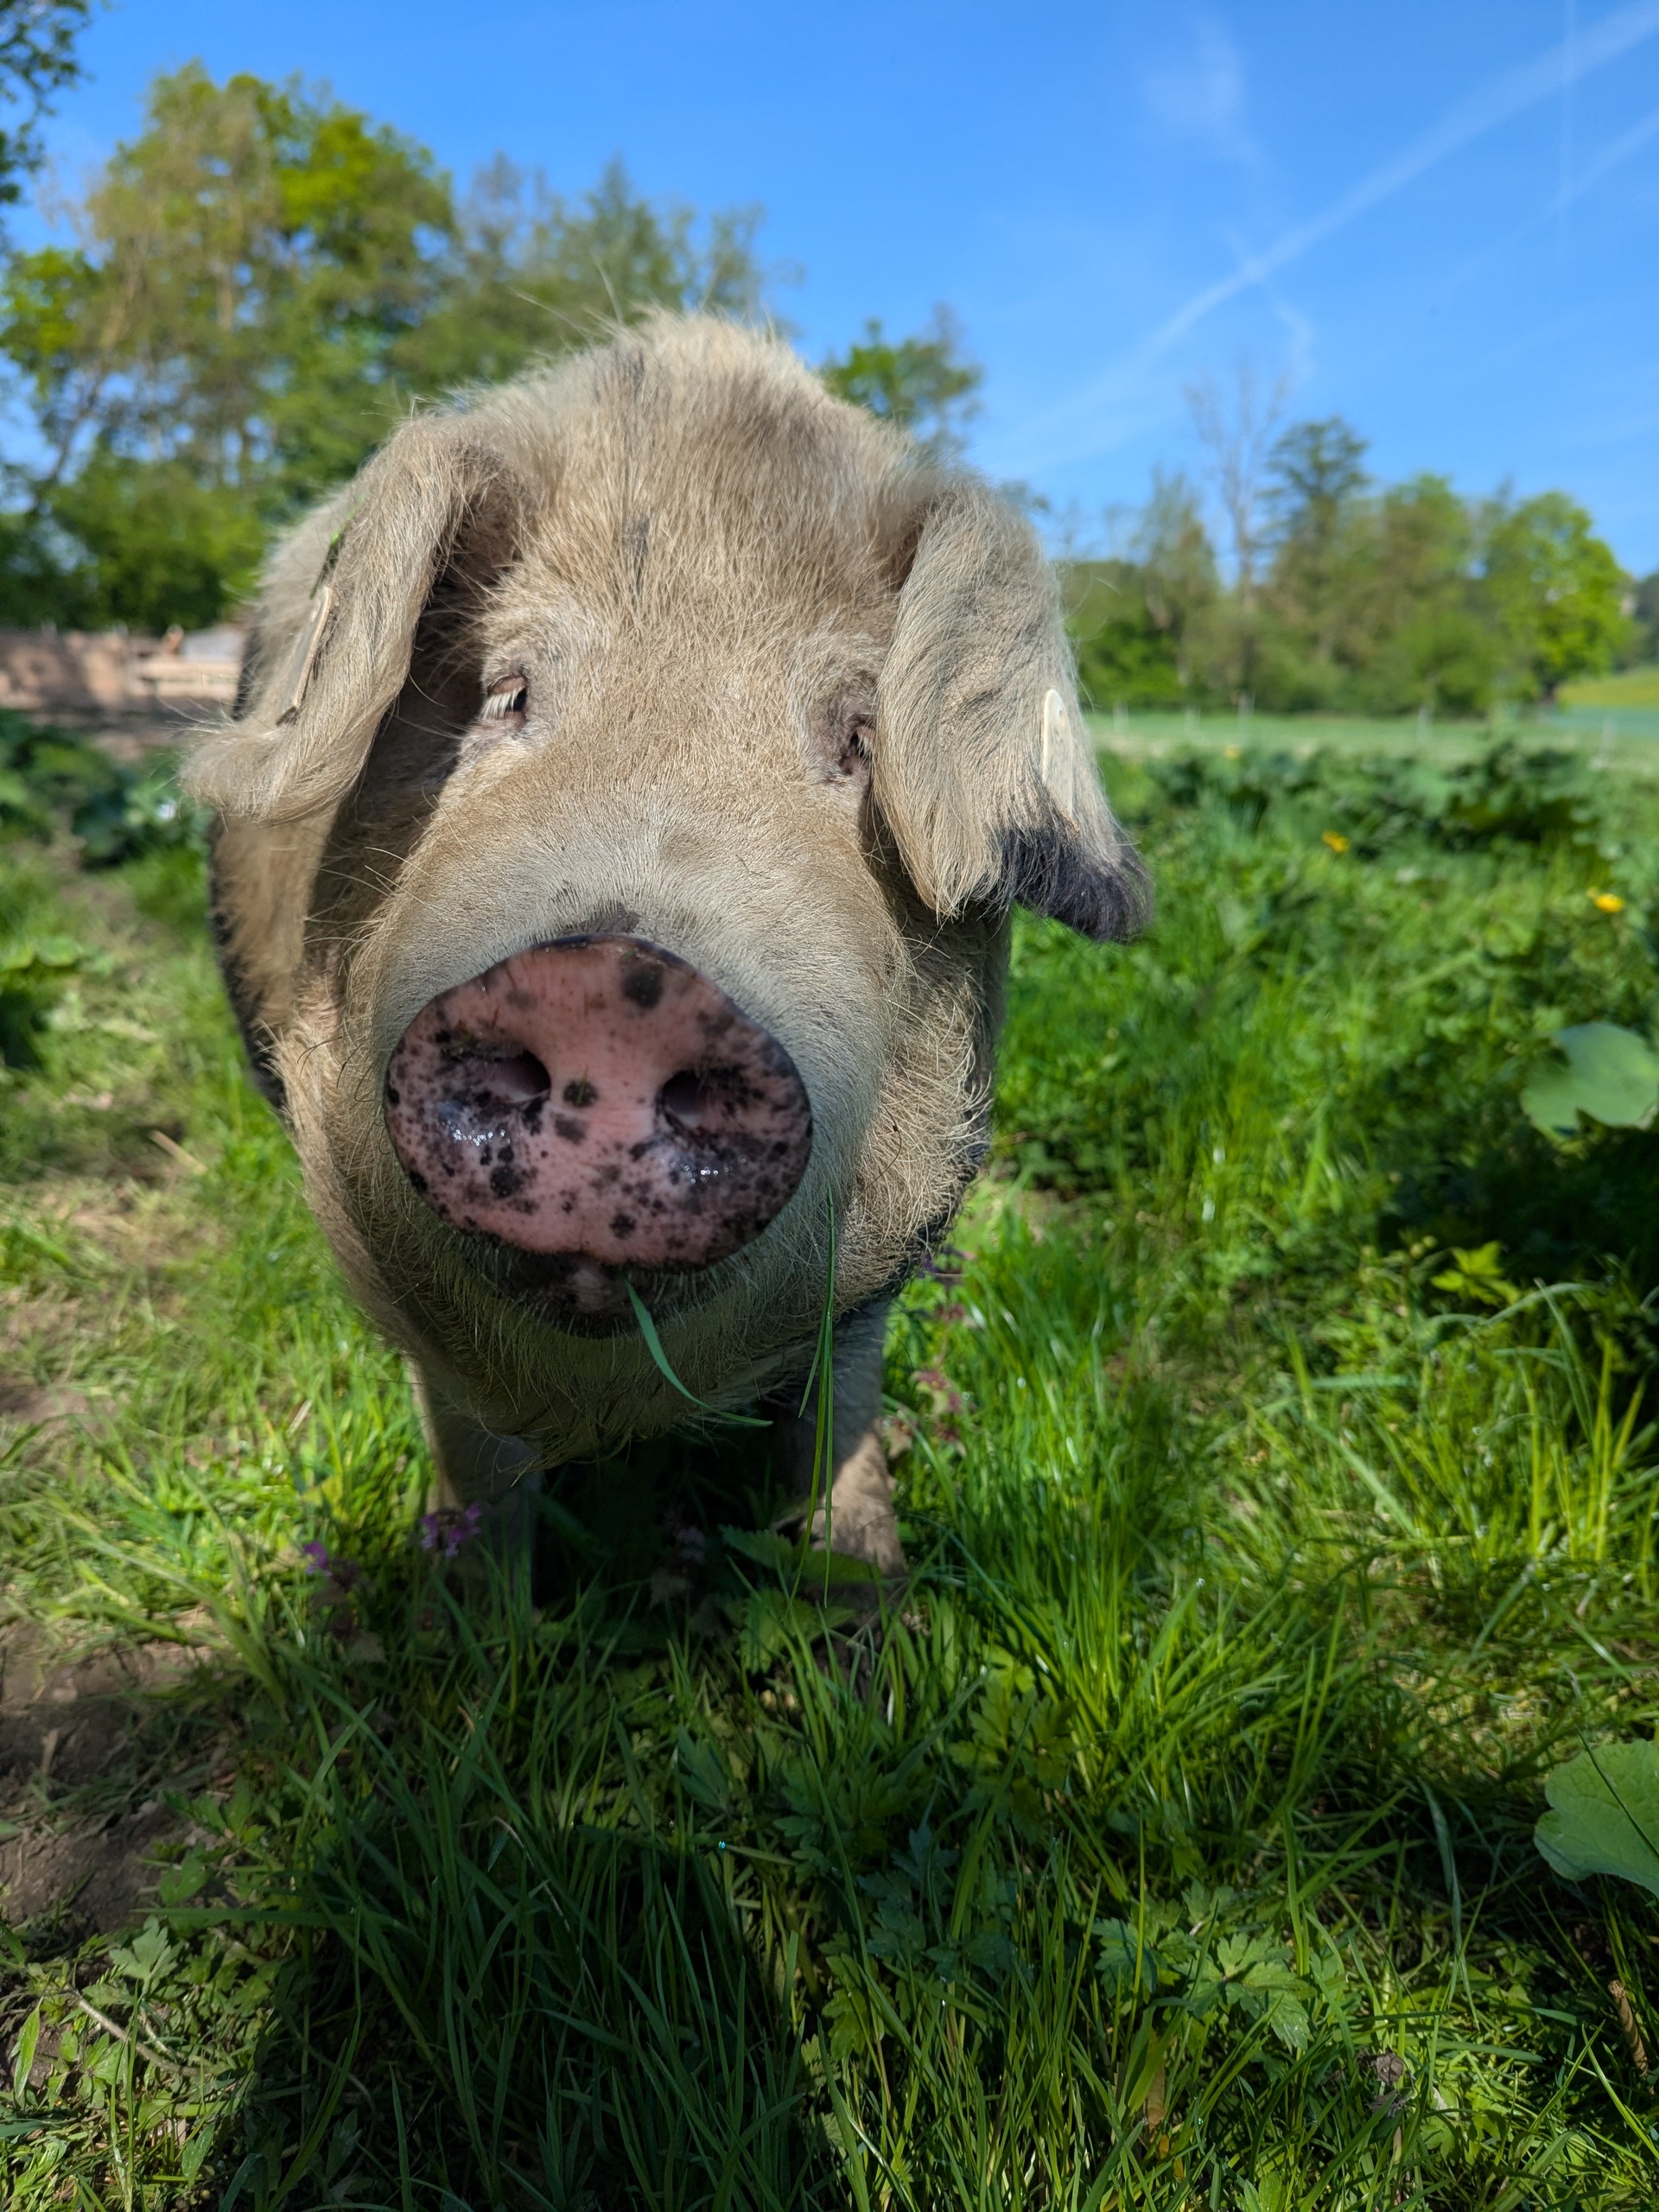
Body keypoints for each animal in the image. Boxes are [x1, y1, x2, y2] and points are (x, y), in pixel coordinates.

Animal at [187, 316, 1147, 1582]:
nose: (607, 986)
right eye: (505, 694)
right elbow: (479, 1476)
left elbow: (839, 1425)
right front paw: (465, 1614)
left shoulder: (889, 1259)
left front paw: (861, 1594)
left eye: (858, 737)